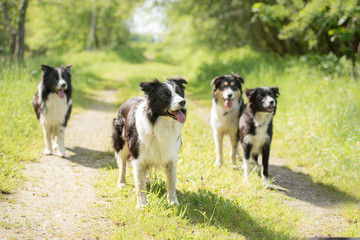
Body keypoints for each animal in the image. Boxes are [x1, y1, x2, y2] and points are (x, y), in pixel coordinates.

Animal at [111, 77, 187, 208]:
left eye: (179, 92)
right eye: (166, 96)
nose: (183, 102)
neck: (160, 122)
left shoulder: (171, 157)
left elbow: (171, 182)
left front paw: (173, 202)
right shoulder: (138, 158)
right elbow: (140, 185)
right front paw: (142, 205)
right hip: (121, 144)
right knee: (122, 165)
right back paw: (121, 183)